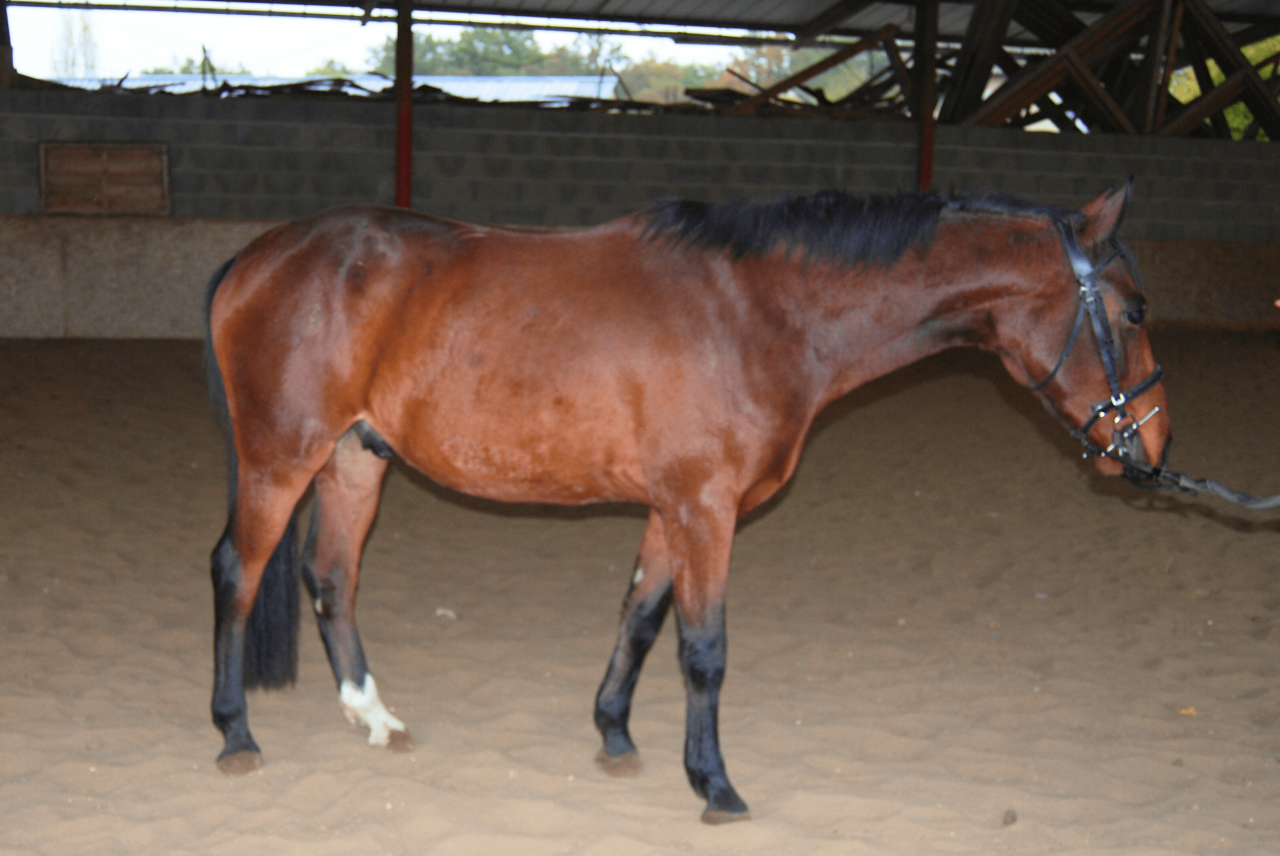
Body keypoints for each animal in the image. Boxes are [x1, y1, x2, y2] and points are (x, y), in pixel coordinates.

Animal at [203, 183, 1171, 824]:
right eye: (1130, 310)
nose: (1152, 451)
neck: (757, 310)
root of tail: (260, 257)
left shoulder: (673, 508)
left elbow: (640, 616)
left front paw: (616, 738)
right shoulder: (707, 508)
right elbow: (704, 649)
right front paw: (715, 785)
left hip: (353, 460)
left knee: (330, 577)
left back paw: (374, 718)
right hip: (281, 458)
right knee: (237, 572)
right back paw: (235, 735)